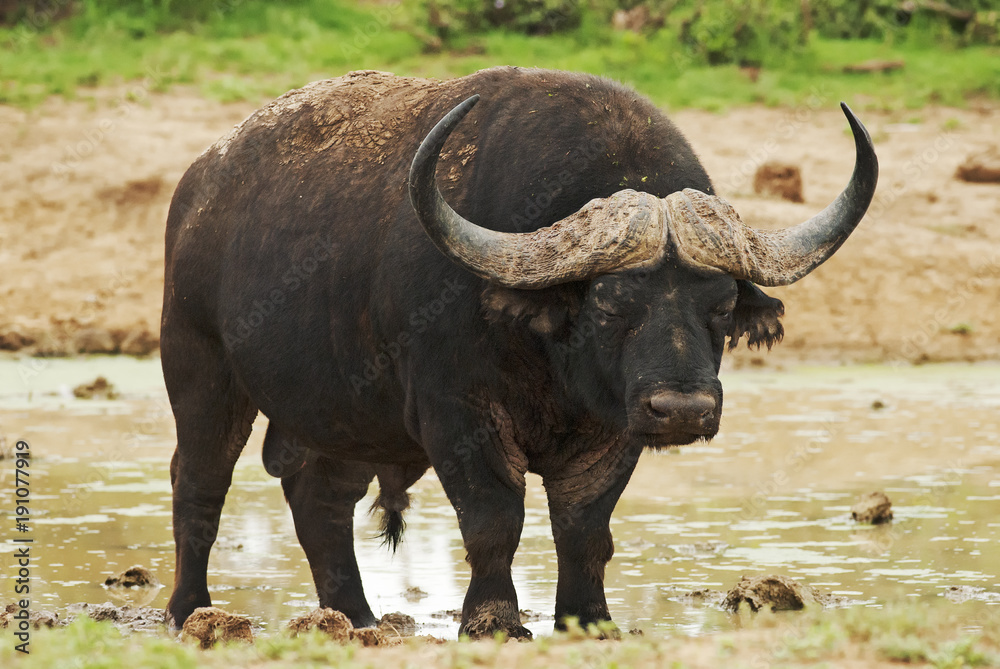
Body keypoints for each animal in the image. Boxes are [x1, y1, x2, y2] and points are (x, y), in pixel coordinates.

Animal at [162, 68, 876, 636]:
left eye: (722, 306)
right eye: (610, 304)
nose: (683, 410)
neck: (550, 363)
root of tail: (200, 186)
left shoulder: (613, 431)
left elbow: (585, 530)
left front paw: (589, 619)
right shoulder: (459, 415)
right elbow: (494, 520)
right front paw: (494, 621)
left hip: (347, 416)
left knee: (319, 497)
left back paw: (358, 617)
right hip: (200, 368)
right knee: (199, 481)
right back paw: (189, 608)